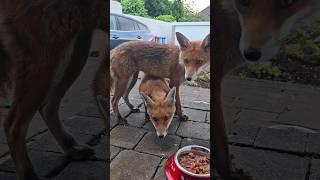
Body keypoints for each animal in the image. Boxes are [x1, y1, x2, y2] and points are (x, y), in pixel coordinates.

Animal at [0, 0, 107, 179]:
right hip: (48, 54)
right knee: (13, 125)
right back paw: (29, 175)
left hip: (76, 48)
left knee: (47, 106)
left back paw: (70, 147)